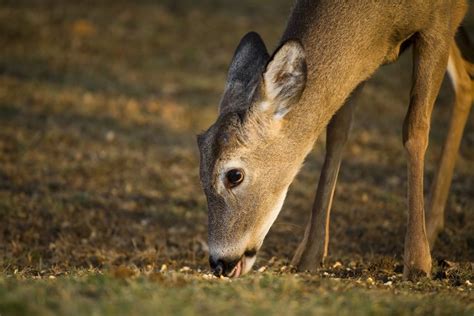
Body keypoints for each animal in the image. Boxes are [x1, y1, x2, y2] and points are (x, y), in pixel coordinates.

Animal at [197, 0, 474, 282]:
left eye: (234, 175)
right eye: (201, 174)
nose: (220, 263)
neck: (385, 20)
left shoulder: (438, 24)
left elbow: (415, 129)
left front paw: (417, 263)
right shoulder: (364, 59)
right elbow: (338, 131)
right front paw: (308, 256)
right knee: (466, 78)